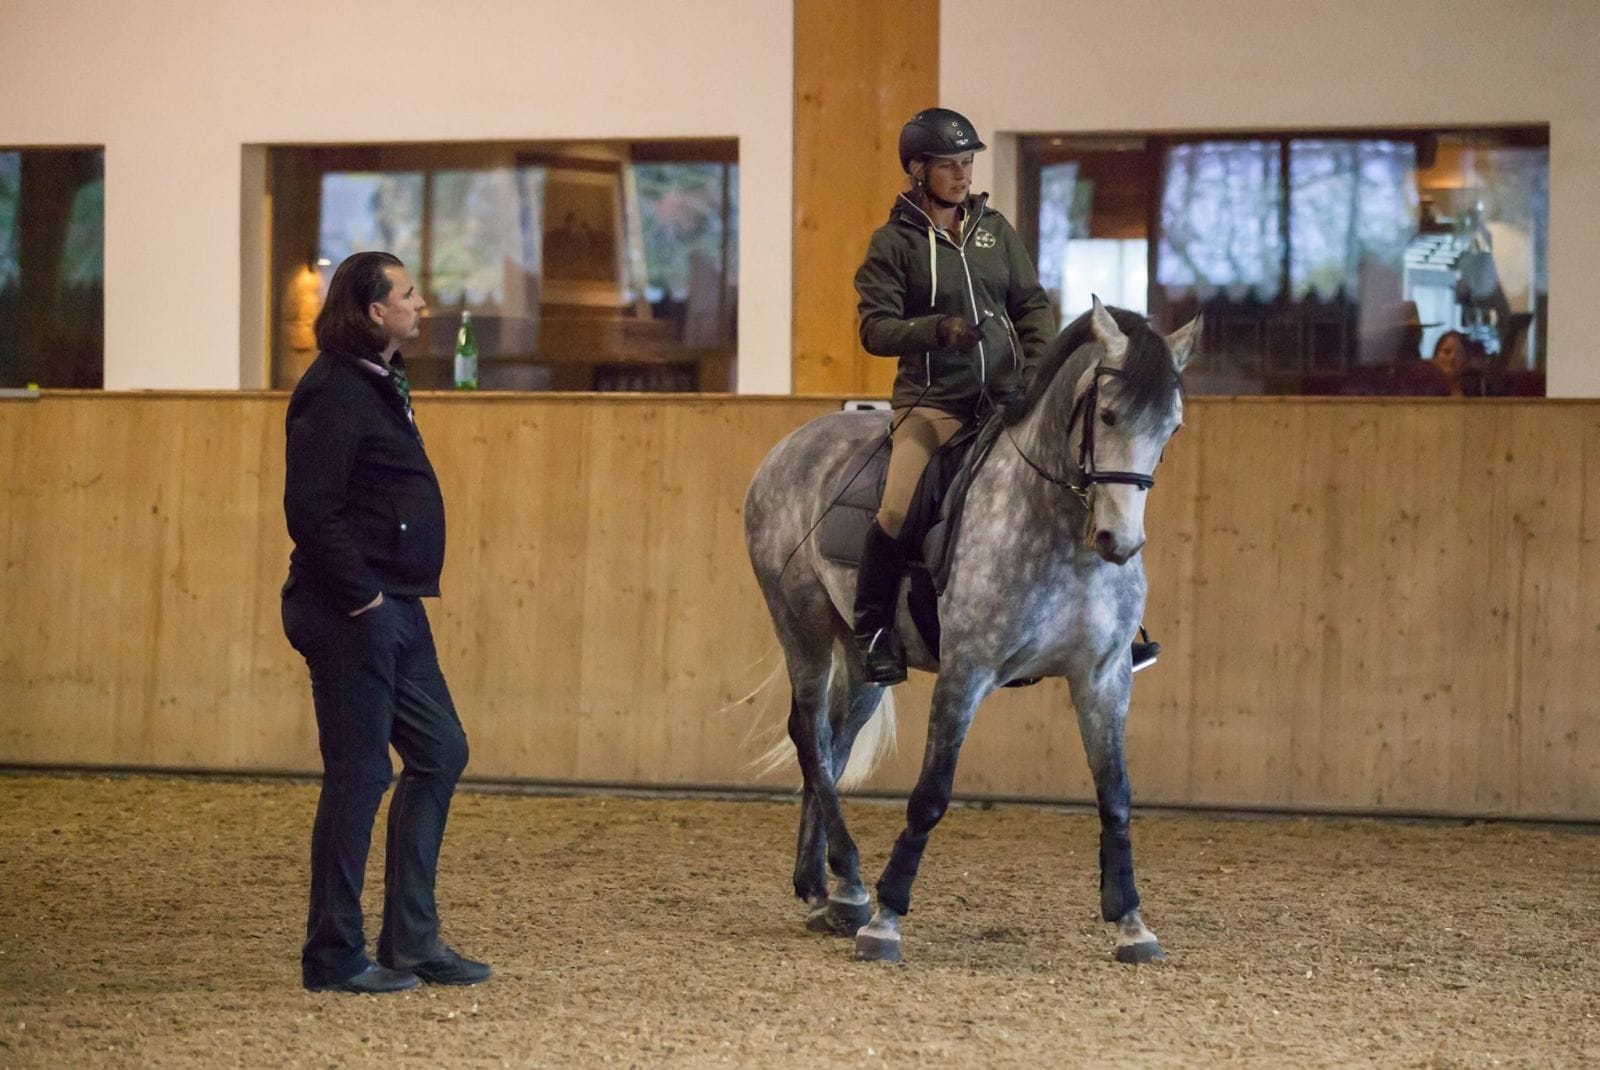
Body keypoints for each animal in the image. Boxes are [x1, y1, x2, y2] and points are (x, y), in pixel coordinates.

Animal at [742, 299, 1196, 959]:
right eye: (1108, 414)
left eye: (1172, 429)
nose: (1119, 543)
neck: (1057, 528)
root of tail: (790, 446)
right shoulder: (967, 670)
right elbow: (930, 795)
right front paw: (887, 922)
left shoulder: (1104, 677)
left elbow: (1116, 795)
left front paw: (1132, 923)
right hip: (801, 624)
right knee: (809, 735)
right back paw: (851, 886)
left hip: (862, 656)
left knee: (831, 740)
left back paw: (832, 890)